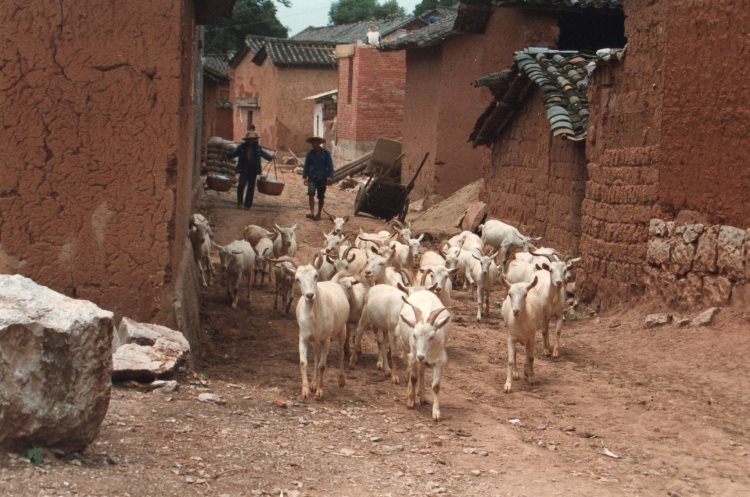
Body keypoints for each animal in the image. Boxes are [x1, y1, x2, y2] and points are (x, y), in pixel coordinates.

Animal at [284, 264, 352, 400]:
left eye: (316, 275)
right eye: (297, 279)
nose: (310, 295)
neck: (314, 314)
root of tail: (333, 281)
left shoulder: (326, 339)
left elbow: (322, 365)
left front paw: (320, 391)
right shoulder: (303, 337)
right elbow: (304, 362)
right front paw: (305, 390)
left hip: (342, 329)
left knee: (341, 353)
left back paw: (341, 380)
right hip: (315, 339)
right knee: (316, 355)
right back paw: (313, 383)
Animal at [400, 288, 452, 420]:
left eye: (432, 337)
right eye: (414, 335)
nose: (421, 356)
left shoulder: (439, 360)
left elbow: (436, 386)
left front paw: (436, 412)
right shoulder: (413, 355)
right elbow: (413, 378)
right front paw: (410, 401)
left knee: (422, 372)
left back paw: (422, 396)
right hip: (406, 348)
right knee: (411, 371)